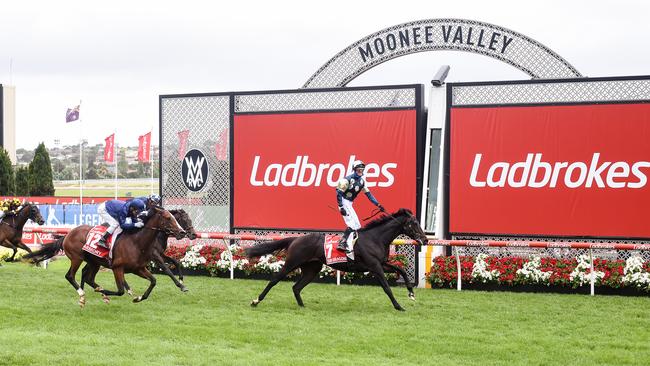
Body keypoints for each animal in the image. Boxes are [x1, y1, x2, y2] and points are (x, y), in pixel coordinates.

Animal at [26, 207, 184, 308]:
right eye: (168, 218)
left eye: (174, 217)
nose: (182, 232)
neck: (136, 242)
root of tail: (68, 234)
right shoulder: (117, 268)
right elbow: (120, 291)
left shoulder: (138, 268)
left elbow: (153, 281)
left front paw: (138, 298)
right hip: (77, 258)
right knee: (70, 276)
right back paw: (83, 294)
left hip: (94, 262)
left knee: (88, 278)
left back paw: (99, 292)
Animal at [246, 209, 428, 312]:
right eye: (414, 223)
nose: (425, 239)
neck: (375, 238)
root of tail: (295, 239)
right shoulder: (375, 266)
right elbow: (387, 288)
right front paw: (398, 306)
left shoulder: (381, 264)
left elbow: (402, 270)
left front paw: (411, 293)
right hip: (292, 262)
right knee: (274, 280)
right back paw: (256, 301)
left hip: (312, 268)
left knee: (296, 287)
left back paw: (303, 307)